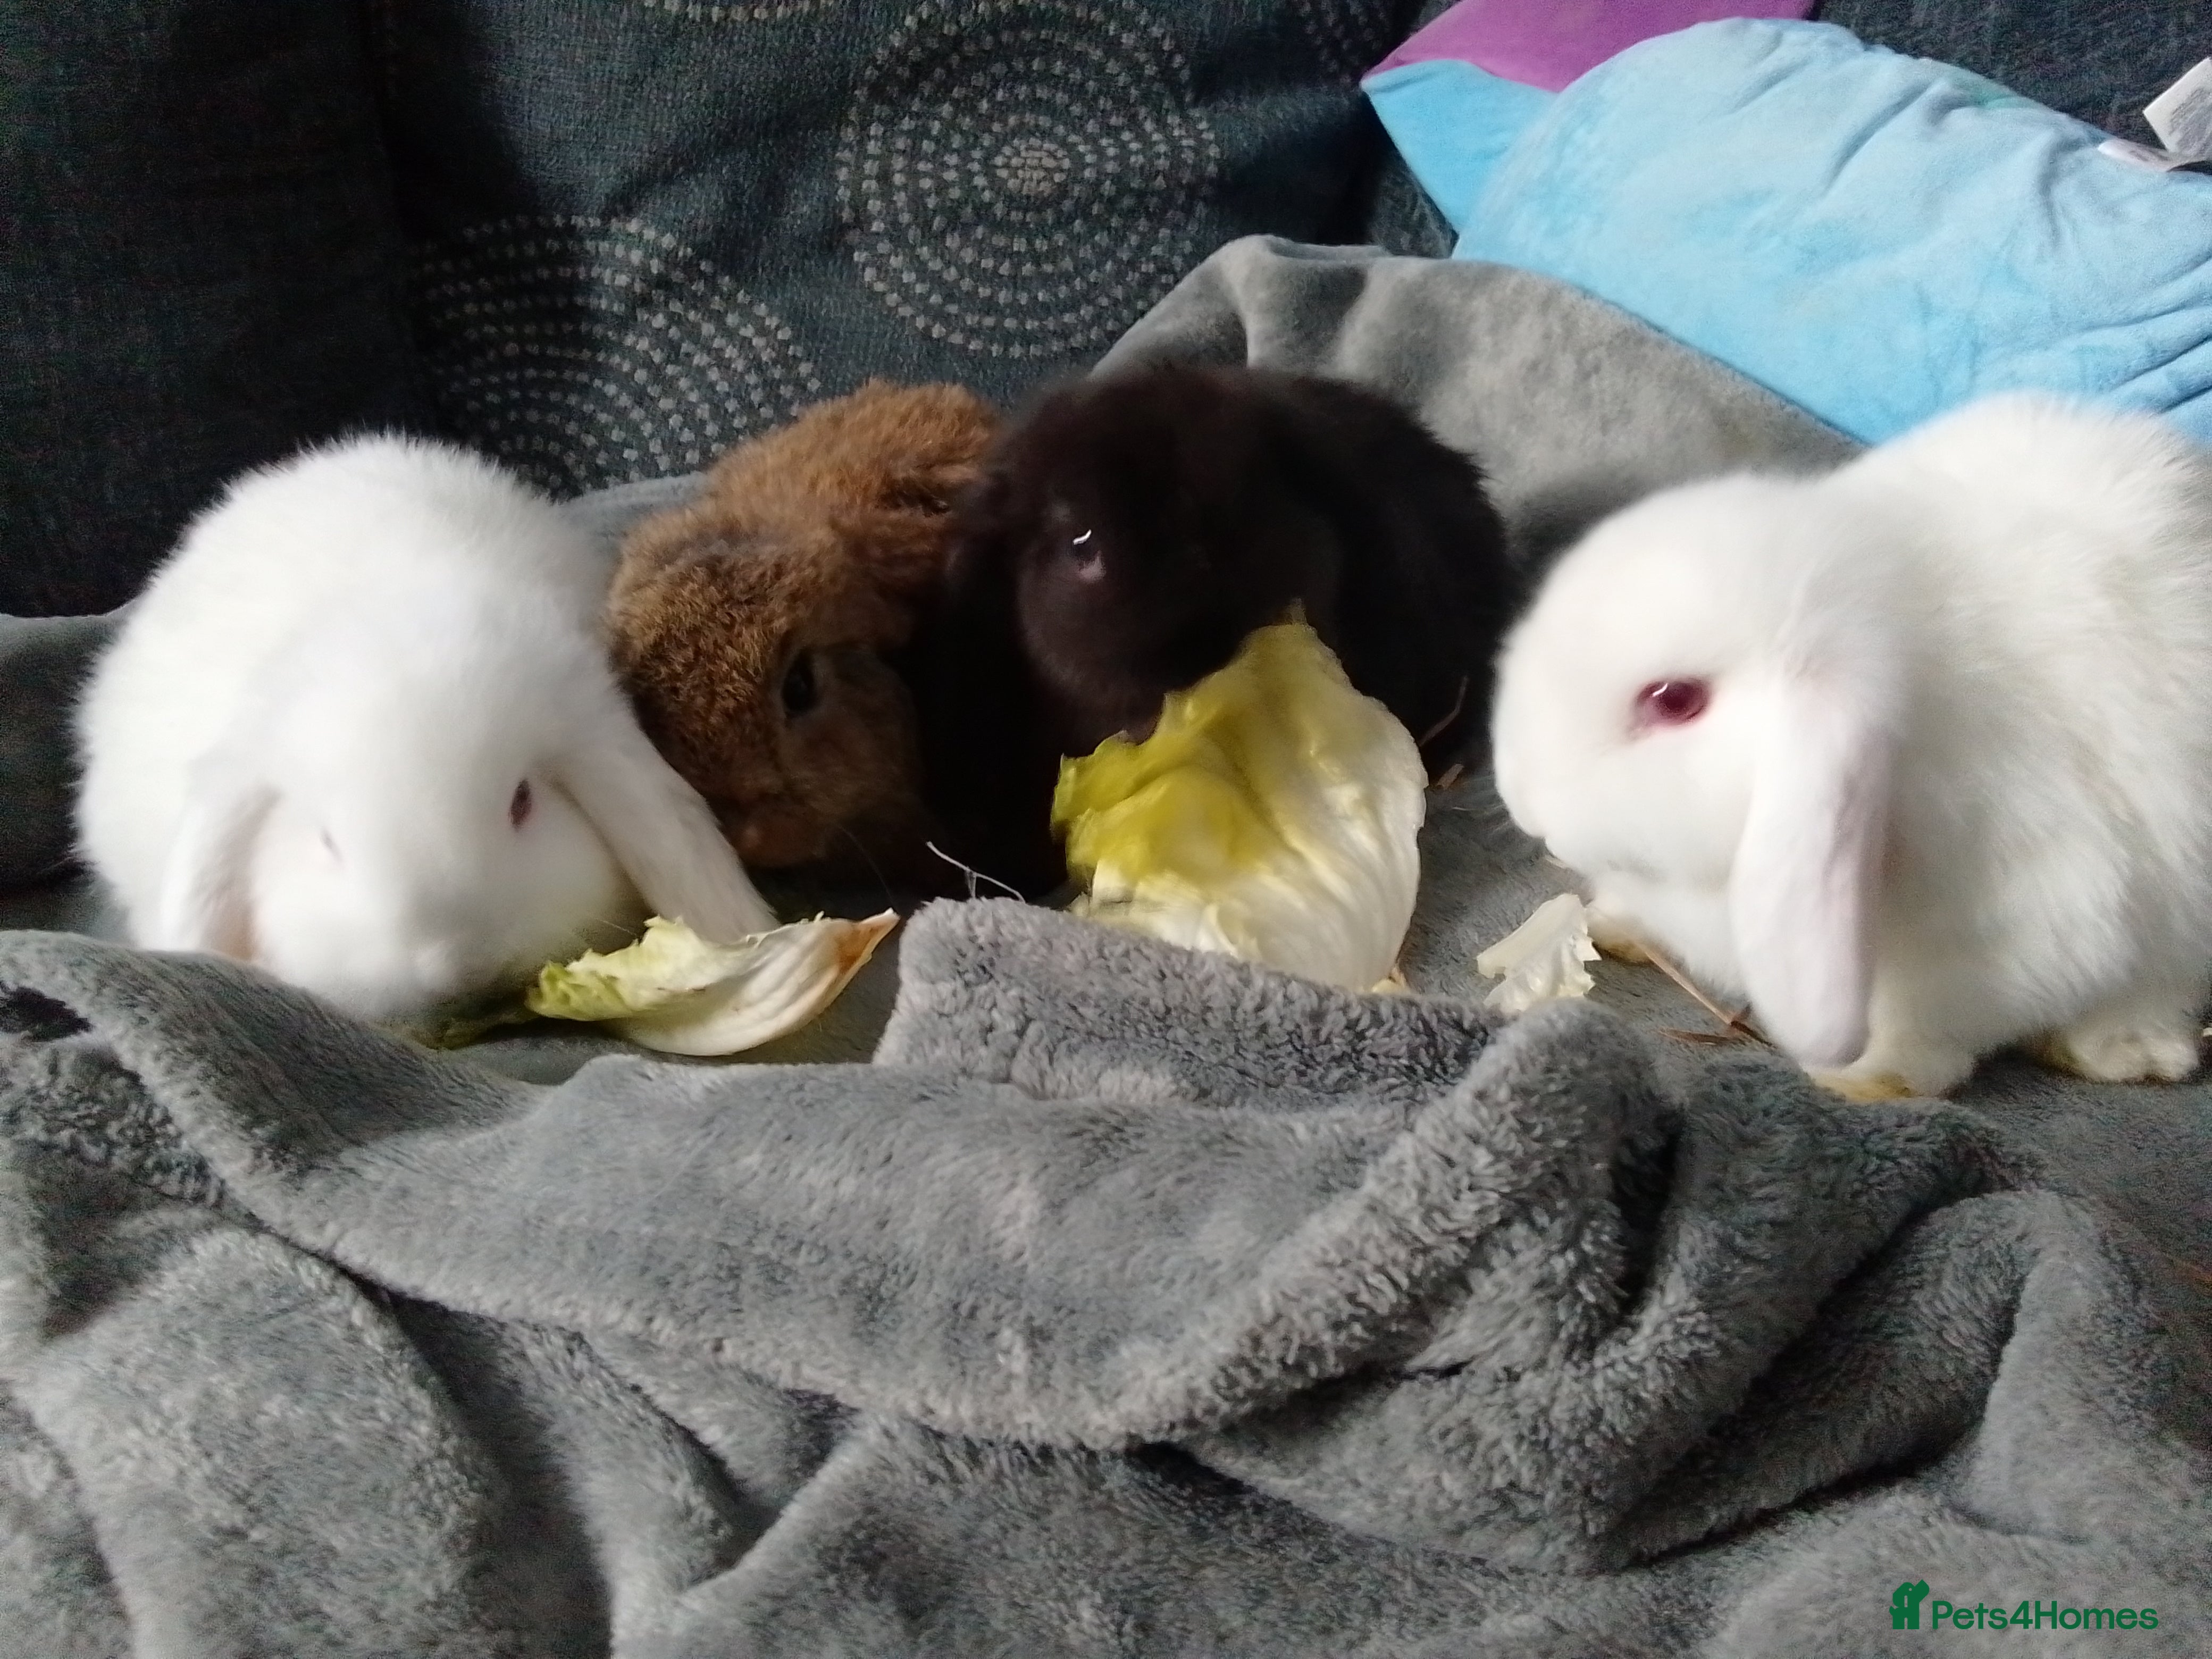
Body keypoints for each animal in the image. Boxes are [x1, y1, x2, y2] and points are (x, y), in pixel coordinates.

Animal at [1489, 392, 2212, 1101]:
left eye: (1673, 700)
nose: (1524, 805)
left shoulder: (2018, 933)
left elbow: (1926, 1029)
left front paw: (1865, 1080)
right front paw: (1611, 924)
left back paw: (2120, 1050)